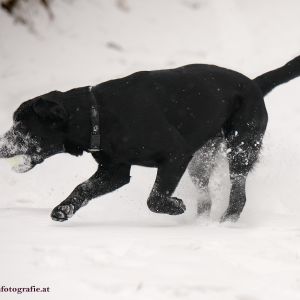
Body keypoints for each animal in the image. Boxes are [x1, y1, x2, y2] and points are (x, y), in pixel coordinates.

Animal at [0, 55, 298, 221]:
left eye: (21, 125)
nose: (1, 146)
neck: (99, 115)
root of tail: (254, 85)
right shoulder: (114, 172)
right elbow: (81, 189)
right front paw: (63, 209)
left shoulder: (176, 156)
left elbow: (154, 198)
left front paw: (175, 206)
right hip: (201, 161)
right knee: (206, 200)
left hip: (240, 149)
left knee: (238, 196)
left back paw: (225, 223)